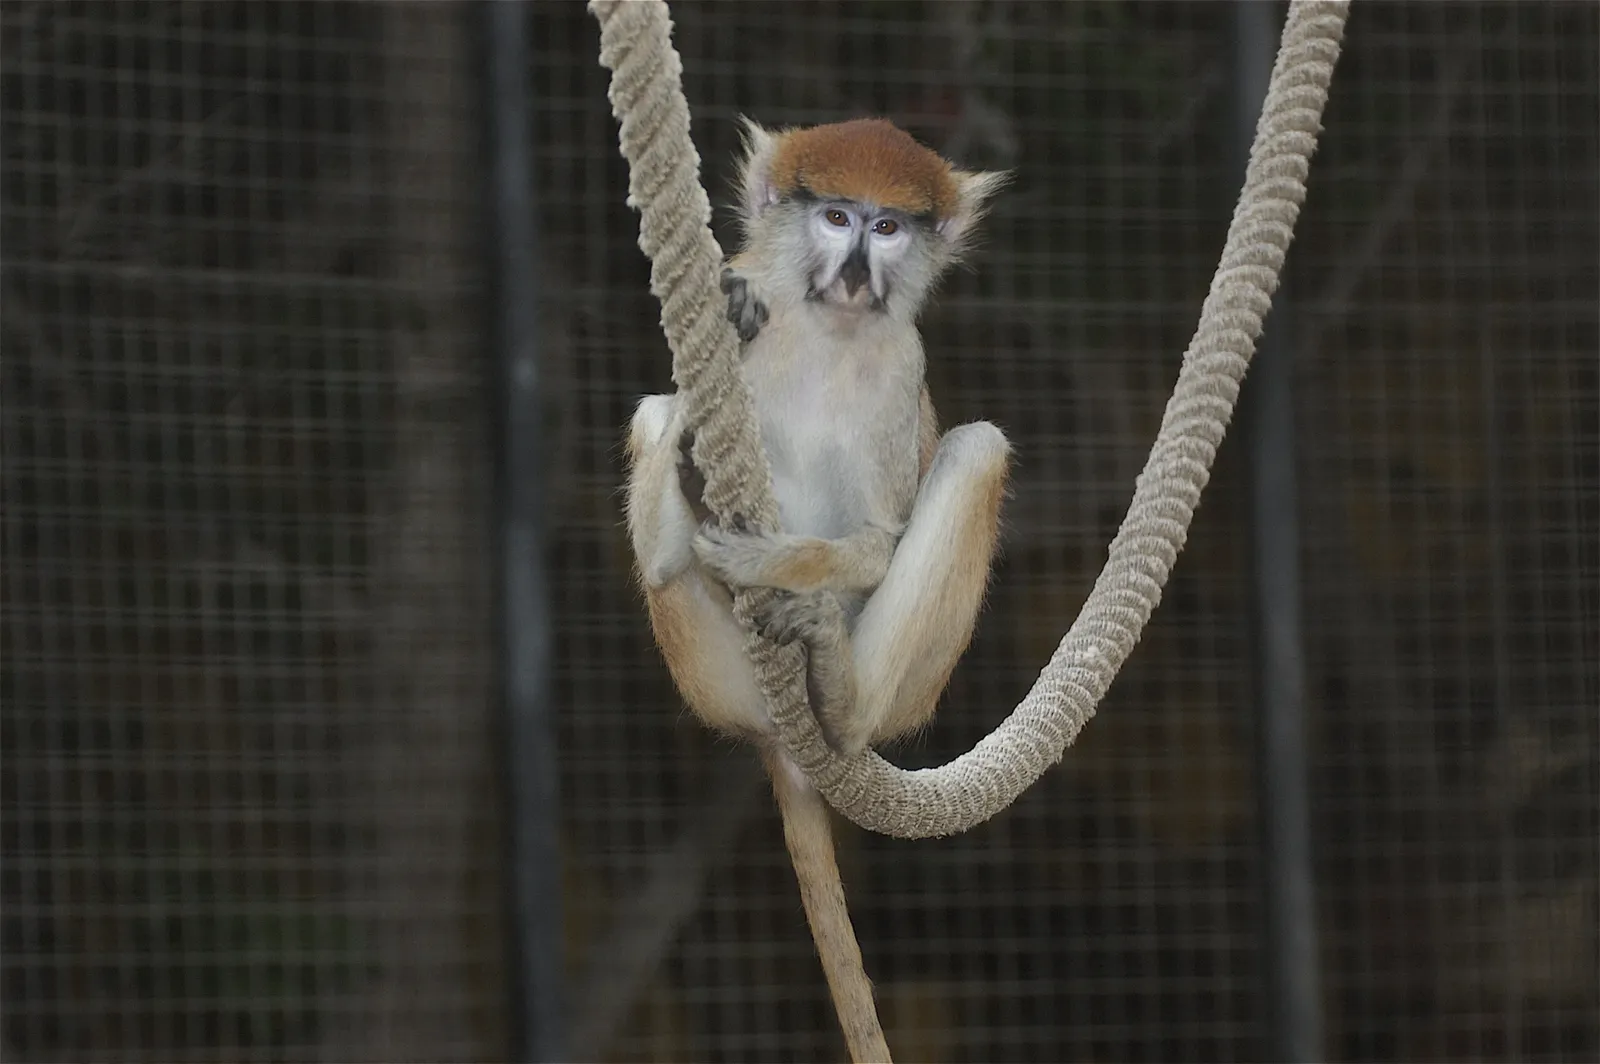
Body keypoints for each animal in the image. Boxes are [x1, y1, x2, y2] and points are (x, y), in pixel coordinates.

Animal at [625, 117, 1010, 1063]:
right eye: (836, 216)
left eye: (889, 228)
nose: (856, 272)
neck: (828, 332)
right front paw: (725, 320)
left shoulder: (902, 366)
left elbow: (874, 546)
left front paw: (777, 565)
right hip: (715, 678)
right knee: (660, 514)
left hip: (905, 687)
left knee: (977, 450)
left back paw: (841, 695)